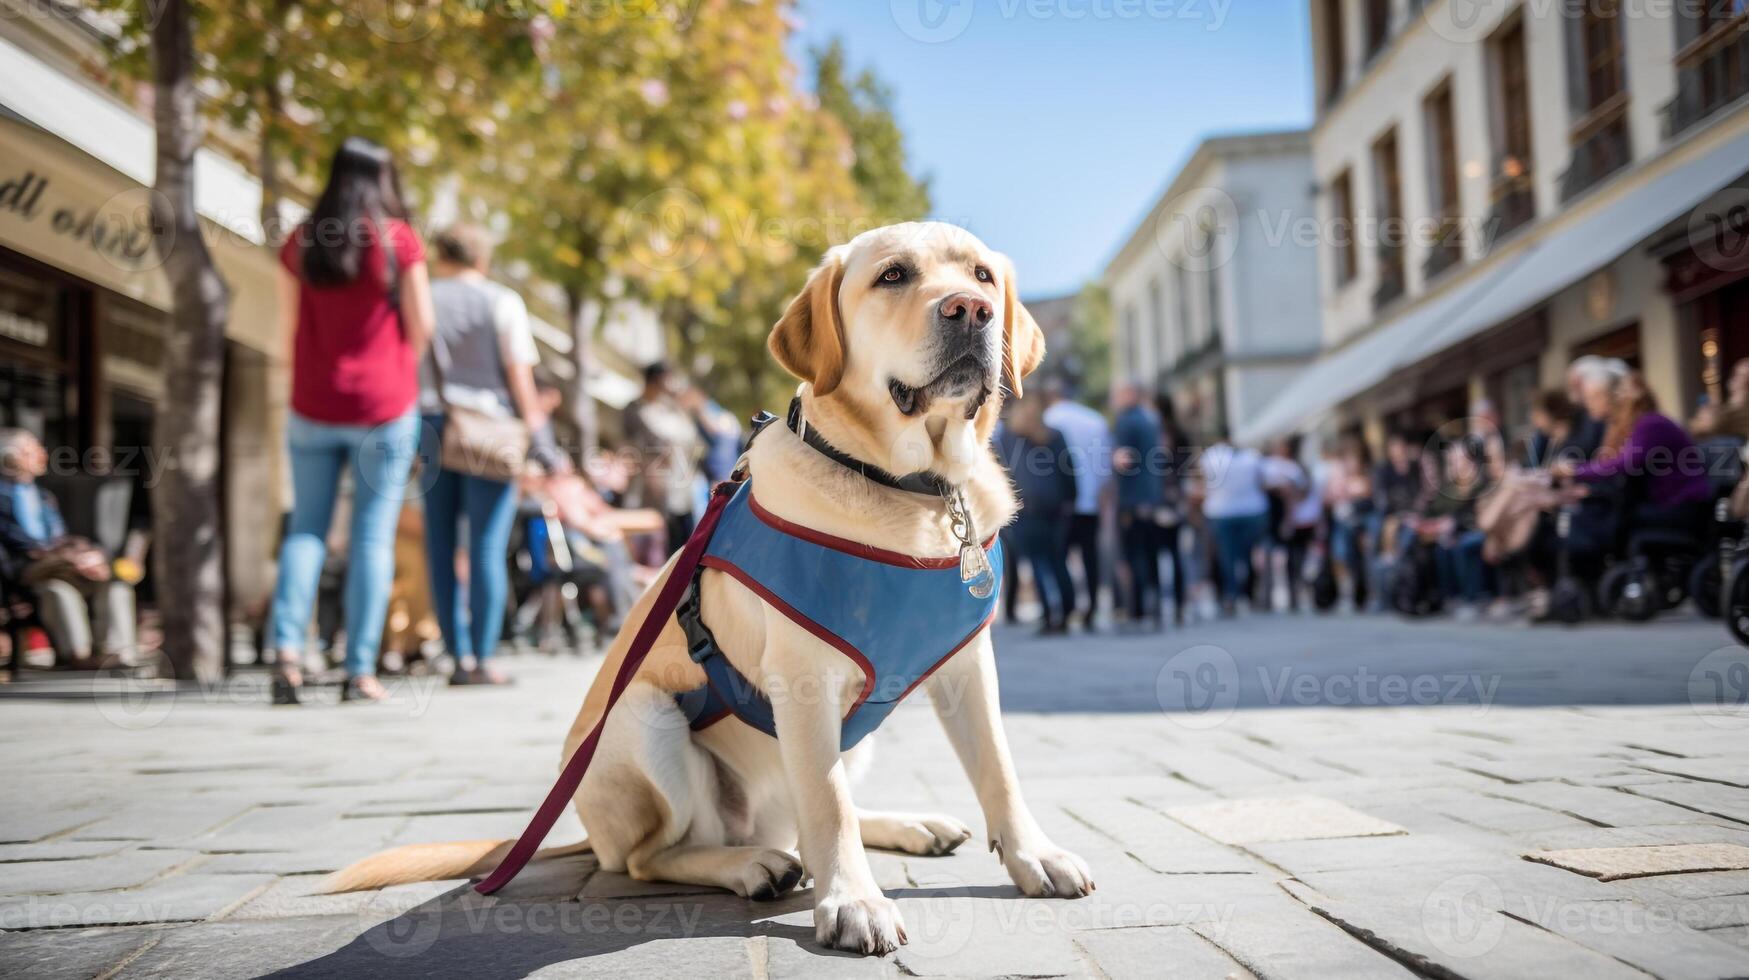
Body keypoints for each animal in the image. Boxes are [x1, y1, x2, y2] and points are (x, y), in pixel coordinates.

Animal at [328, 224, 1091, 959]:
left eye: (982, 276)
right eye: (893, 275)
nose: (972, 310)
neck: (915, 491)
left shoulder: (968, 666)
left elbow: (997, 770)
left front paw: (1035, 857)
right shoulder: (803, 680)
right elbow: (829, 804)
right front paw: (854, 903)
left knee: (805, 818)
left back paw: (906, 825)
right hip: (642, 718)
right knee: (660, 855)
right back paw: (752, 864)